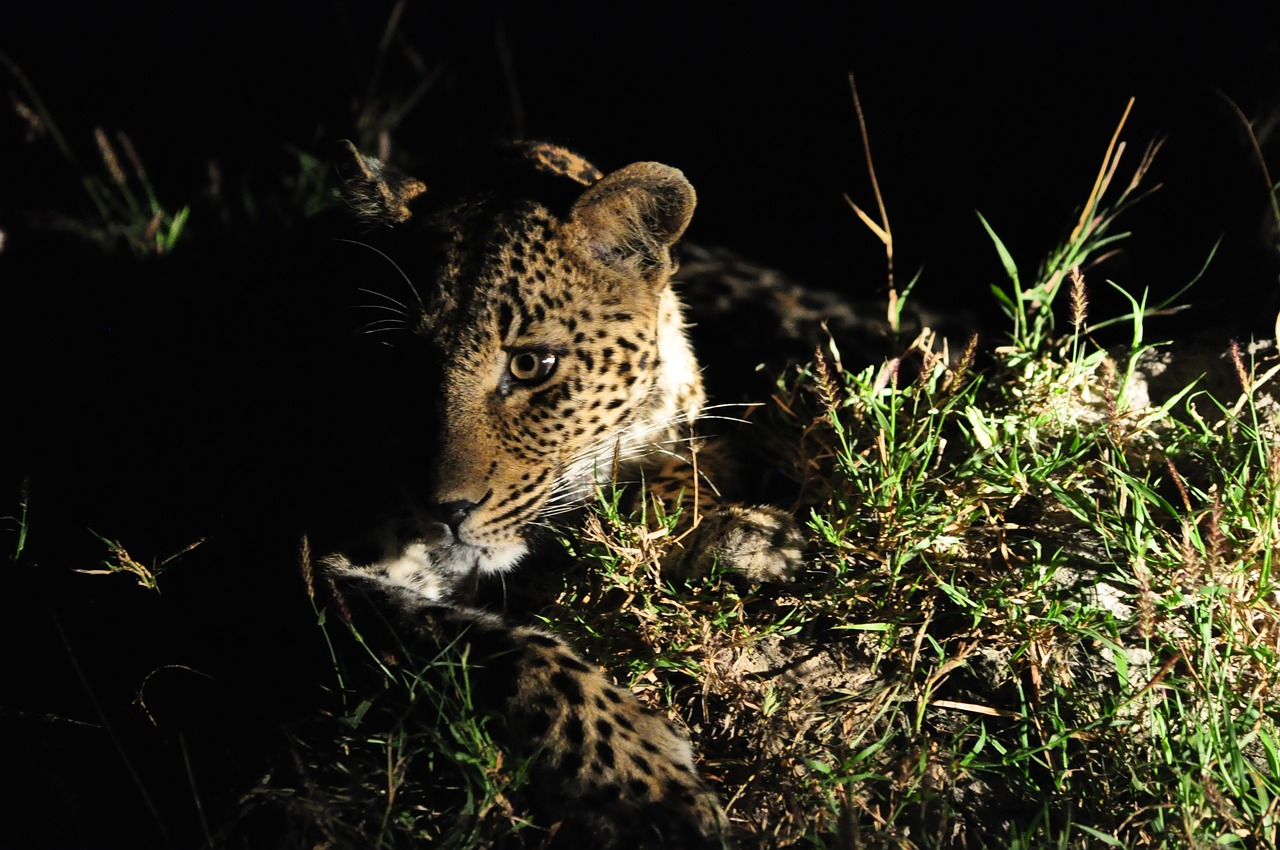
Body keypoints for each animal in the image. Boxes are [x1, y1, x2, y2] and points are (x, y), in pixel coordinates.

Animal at [327, 139, 808, 844]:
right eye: (400, 363)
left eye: (532, 365)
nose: (445, 511)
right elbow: (501, 649)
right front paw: (650, 789)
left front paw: (755, 534)